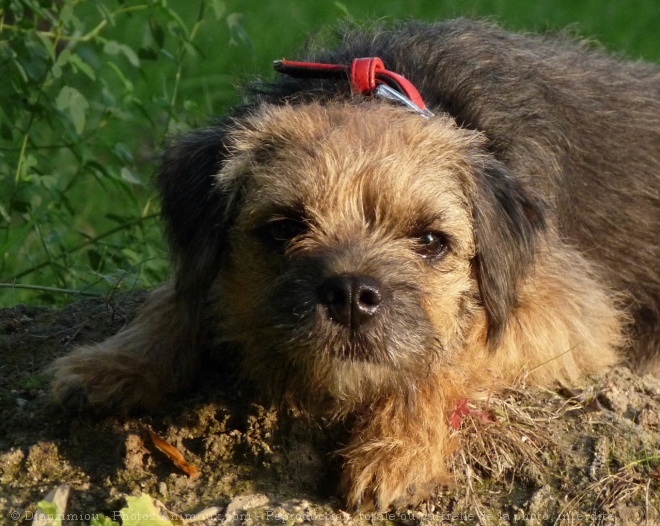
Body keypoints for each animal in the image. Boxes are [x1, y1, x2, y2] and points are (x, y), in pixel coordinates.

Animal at [47, 19, 660, 512]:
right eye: (283, 228)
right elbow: (180, 294)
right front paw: (115, 361)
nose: (350, 295)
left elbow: (452, 353)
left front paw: (398, 447)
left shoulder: (570, 305)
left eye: (431, 241)